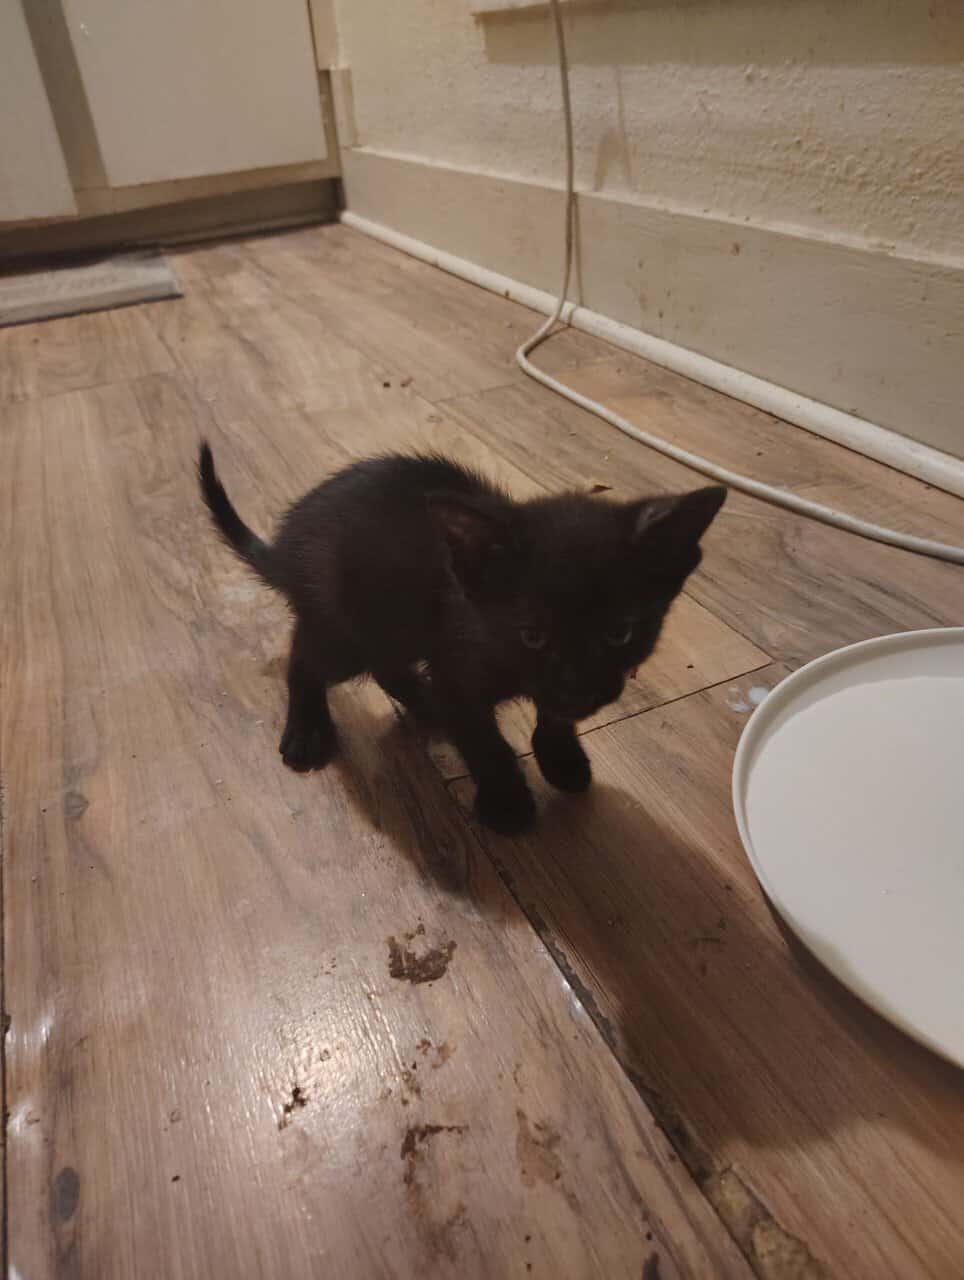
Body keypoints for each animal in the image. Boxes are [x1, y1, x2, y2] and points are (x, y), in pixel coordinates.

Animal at [199, 443, 725, 834]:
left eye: (620, 632)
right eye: (532, 634)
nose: (580, 686)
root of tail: (287, 547)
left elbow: (551, 717)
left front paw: (560, 758)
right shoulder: (459, 666)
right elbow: (482, 740)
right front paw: (507, 803)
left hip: (392, 624)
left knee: (388, 665)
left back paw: (424, 703)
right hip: (346, 627)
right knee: (306, 656)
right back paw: (308, 730)